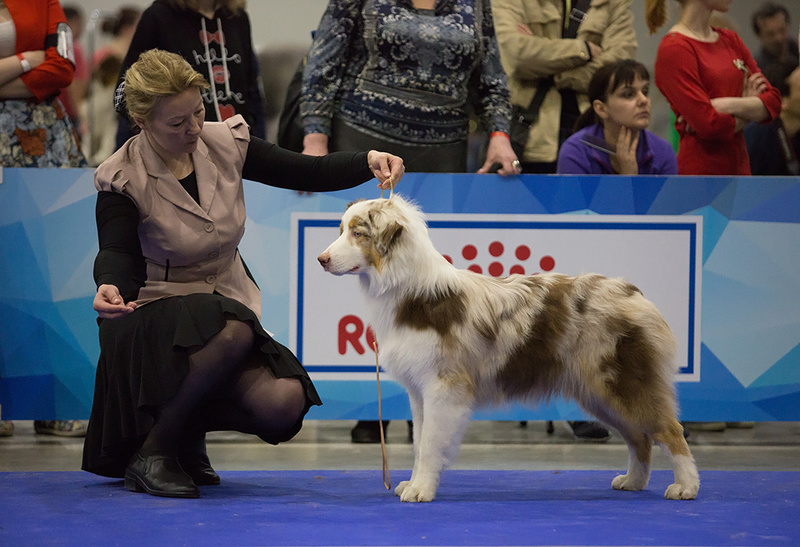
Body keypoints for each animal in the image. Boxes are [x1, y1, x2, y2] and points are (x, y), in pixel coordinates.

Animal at [316, 197, 696, 506]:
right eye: (341, 229)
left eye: (358, 233)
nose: (321, 259)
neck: (411, 290)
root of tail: (634, 293)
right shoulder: (420, 391)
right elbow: (420, 441)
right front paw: (413, 483)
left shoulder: (443, 386)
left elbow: (430, 444)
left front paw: (421, 490)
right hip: (599, 393)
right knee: (639, 438)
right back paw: (633, 481)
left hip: (623, 383)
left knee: (668, 431)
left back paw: (686, 487)